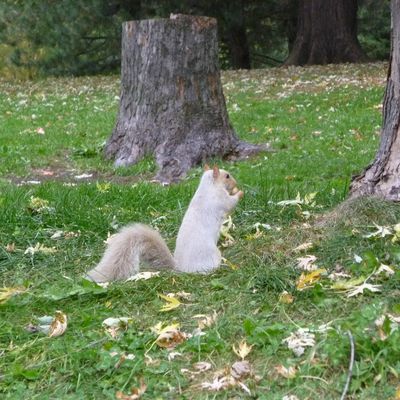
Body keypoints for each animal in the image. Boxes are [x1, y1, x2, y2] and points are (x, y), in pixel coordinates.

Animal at [86, 166, 244, 282]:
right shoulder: (220, 198)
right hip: (212, 255)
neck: (209, 186)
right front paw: (240, 192)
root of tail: (180, 268)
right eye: (227, 176)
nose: (236, 183)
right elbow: (230, 204)